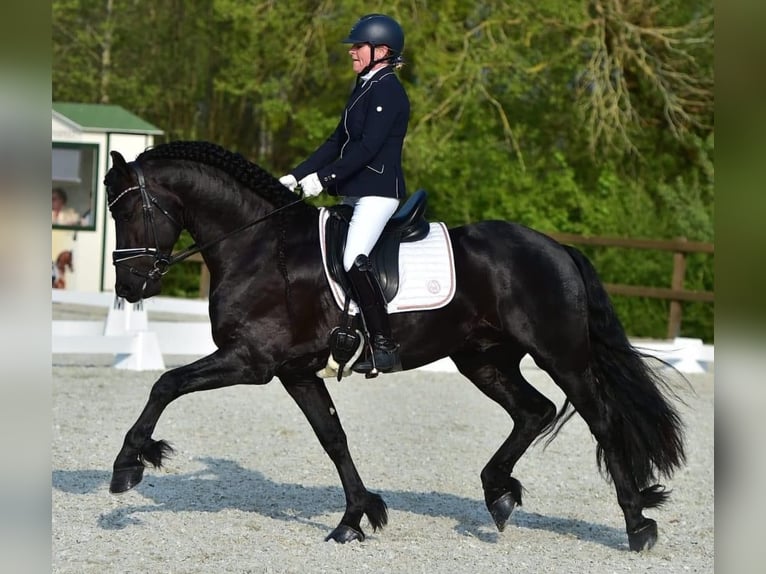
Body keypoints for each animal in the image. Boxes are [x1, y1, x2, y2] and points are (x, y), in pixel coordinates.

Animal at [104, 140, 685, 552]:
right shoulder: (296, 371)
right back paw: (498, 493)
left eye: (128, 213)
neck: (258, 247)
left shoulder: (251, 360)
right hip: (483, 359)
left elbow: (166, 383)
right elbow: (333, 439)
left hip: (561, 356)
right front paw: (358, 516)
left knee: (600, 420)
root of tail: (557, 248)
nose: (129, 288)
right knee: (533, 410)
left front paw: (129, 464)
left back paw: (637, 525)